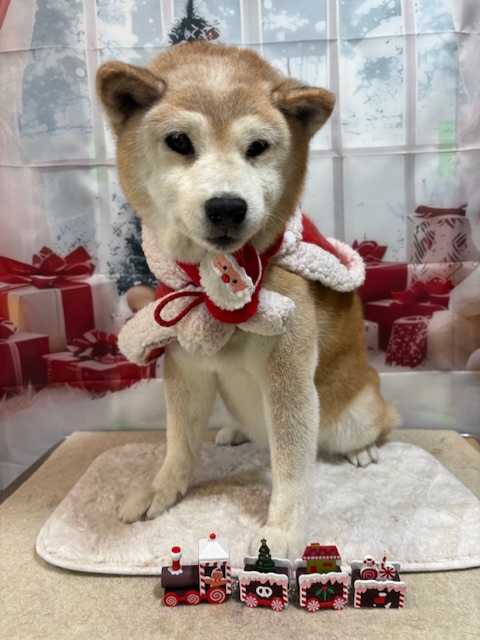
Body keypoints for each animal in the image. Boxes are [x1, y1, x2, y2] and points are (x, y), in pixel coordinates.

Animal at [96, 41, 400, 557]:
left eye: (257, 147)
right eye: (179, 141)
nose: (226, 206)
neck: (218, 278)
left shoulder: (288, 373)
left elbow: (293, 466)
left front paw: (284, 533)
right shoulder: (186, 361)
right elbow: (180, 443)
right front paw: (162, 489)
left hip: (356, 411)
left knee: (373, 426)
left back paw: (363, 449)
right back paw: (237, 430)